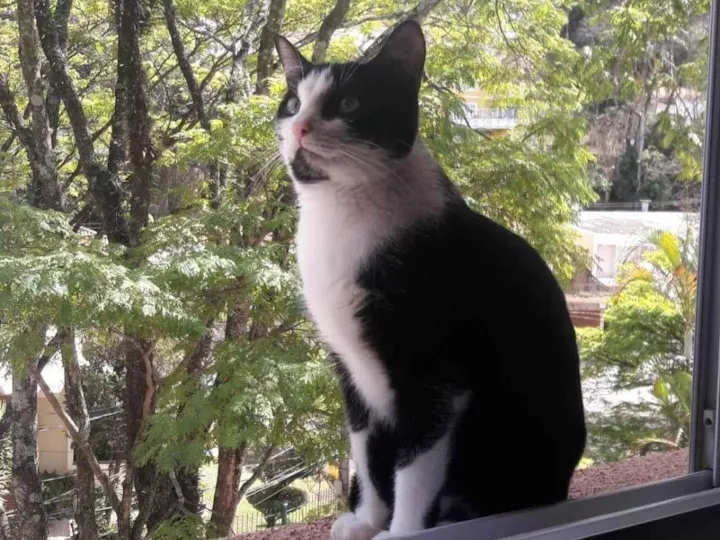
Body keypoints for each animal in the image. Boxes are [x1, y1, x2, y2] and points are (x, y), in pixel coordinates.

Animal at [273, 20, 587, 540]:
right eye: (293, 104)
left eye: (349, 104)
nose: (299, 127)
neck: (340, 215)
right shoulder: (348, 366)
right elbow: (366, 447)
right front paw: (367, 519)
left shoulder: (434, 375)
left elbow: (415, 464)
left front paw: (400, 531)